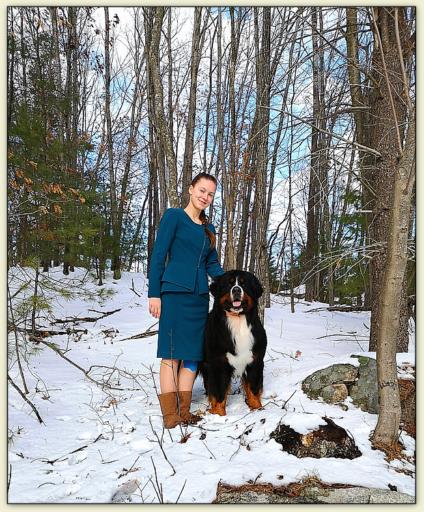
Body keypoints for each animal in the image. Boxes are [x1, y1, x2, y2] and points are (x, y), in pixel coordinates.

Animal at [200, 270, 266, 414]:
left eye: (243, 284)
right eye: (229, 284)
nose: (236, 290)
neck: (238, 322)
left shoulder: (255, 361)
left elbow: (253, 389)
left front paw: (257, 408)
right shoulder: (218, 364)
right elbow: (219, 393)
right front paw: (219, 414)